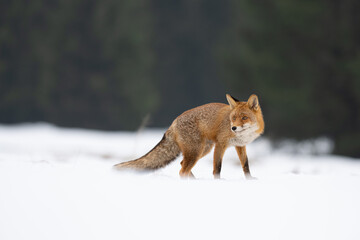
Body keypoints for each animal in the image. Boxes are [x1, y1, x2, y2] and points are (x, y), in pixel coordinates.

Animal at [115, 94, 264, 179]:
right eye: (233, 118)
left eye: (244, 118)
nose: (233, 128)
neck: (244, 135)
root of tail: (174, 122)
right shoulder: (220, 144)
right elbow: (217, 168)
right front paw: (218, 182)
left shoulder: (240, 145)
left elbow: (245, 165)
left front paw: (250, 179)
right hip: (196, 151)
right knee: (182, 171)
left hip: (203, 150)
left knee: (182, 165)